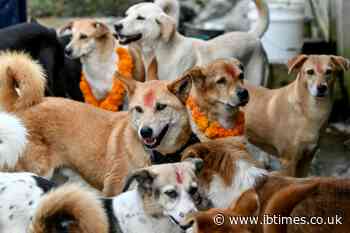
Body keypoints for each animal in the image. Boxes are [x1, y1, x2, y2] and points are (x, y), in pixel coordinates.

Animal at [0, 52, 193, 196]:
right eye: (138, 109)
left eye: (161, 107)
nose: (145, 132)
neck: (157, 155)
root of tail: (17, 105)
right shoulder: (114, 190)